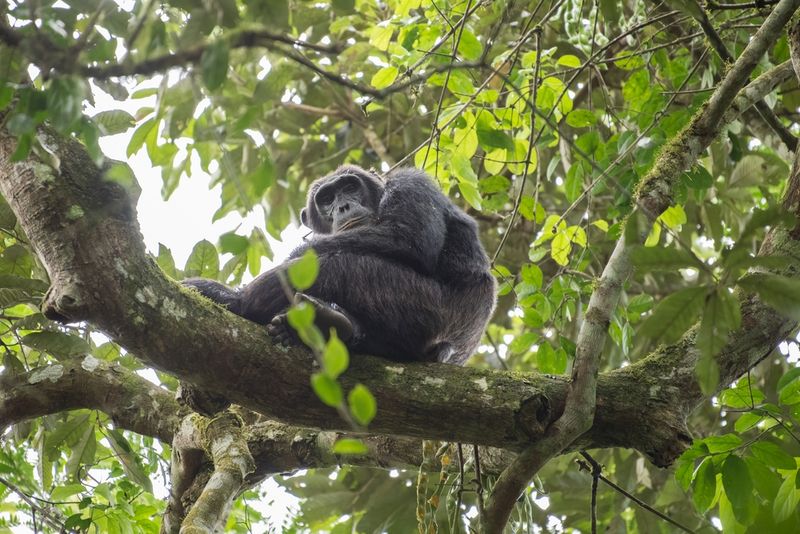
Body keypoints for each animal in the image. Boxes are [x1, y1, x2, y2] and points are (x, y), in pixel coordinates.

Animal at [187, 165, 496, 366]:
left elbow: (409, 238)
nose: (343, 206)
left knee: (335, 266)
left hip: (428, 308)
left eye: (349, 187)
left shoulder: (411, 182)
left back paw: (239, 301)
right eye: (326, 199)